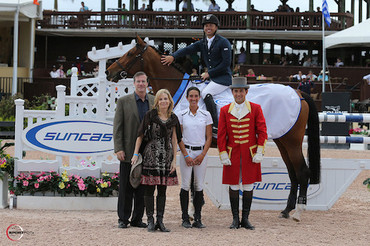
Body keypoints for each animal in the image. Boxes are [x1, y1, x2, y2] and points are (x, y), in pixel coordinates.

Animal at [105, 36, 320, 223]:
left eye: (130, 53)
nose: (108, 71)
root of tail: (297, 92)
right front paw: (193, 212)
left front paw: (192, 212)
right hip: (283, 140)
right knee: (293, 174)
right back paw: (286, 210)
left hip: (292, 141)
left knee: (302, 172)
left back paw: (298, 212)